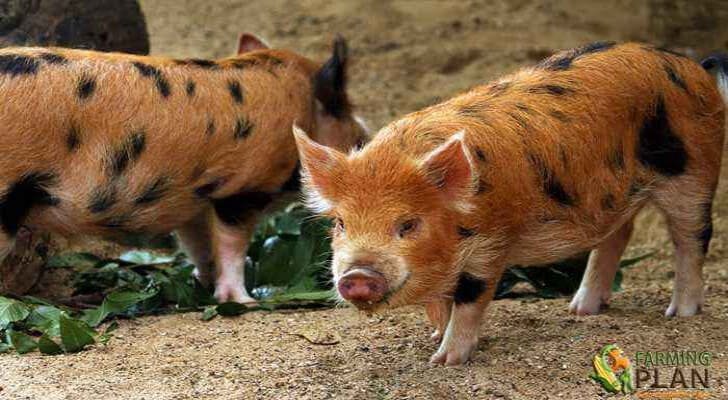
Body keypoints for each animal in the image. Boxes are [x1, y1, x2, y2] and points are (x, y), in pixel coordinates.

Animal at [0, 33, 366, 304]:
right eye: (345, 112)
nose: (365, 134)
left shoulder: (191, 198)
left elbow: (200, 244)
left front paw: (201, 284)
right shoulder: (243, 188)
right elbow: (232, 245)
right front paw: (244, 302)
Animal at [296, 41, 728, 366]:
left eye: (408, 224)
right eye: (340, 223)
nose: (357, 276)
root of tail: (695, 68)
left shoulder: (491, 242)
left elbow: (469, 298)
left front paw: (445, 360)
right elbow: (439, 302)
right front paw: (434, 336)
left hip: (694, 172)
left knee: (692, 238)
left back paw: (679, 313)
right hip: (615, 195)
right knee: (617, 236)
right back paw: (580, 311)